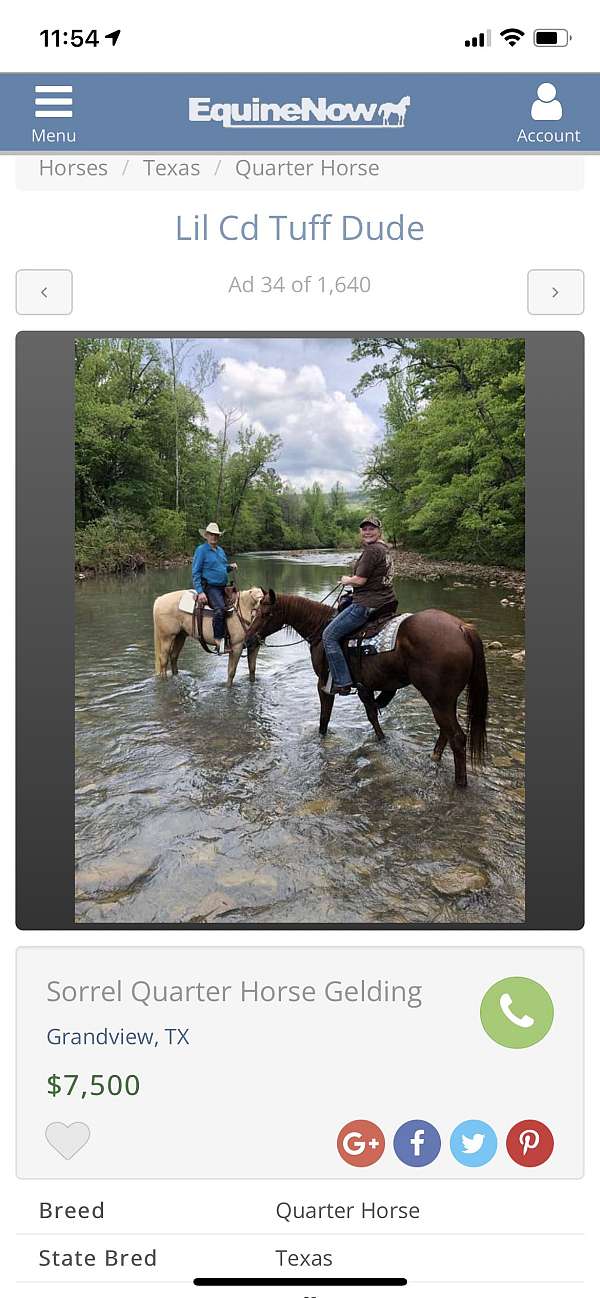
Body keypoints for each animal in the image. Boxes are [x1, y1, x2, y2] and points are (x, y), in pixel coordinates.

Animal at [246, 591, 488, 789]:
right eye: (255, 610)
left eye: (266, 613)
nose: (248, 639)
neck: (320, 628)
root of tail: (462, 629)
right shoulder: (366, 687)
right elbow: (372, 716)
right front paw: (382, 742)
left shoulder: (324, 685)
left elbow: (324, 719)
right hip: (445, 700)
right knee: (446, 732)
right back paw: (434, 758)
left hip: (438, 700)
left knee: (457, 738)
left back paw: (460, 783)